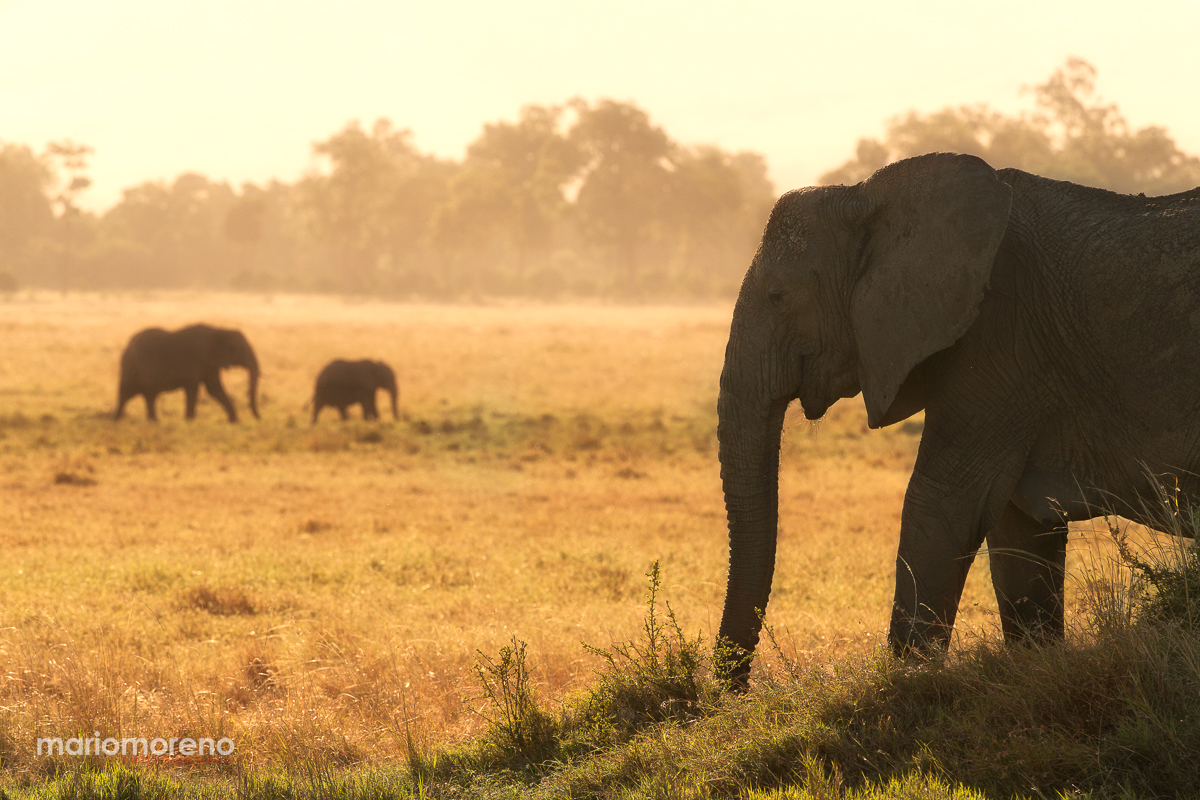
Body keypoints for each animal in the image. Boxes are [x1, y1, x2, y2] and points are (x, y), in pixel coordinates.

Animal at [114, 324, 260, 422]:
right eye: (238, 349)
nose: (259, 418)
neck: (219, 330)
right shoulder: (195, 361)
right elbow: (193, 389)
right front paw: (189, 421)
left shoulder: (209, 365)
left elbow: (214, 389)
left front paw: (235, 422)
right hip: (130, 368)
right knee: (126, 394)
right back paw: (116, 420)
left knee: (149, 395)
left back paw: (153, 422)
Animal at [716, 152, 1200, 686]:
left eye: (779, 295)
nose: (735, 692)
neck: (868, 195)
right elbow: (1017, 530)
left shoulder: (998, 340)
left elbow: (940, 504)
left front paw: (905, 682)